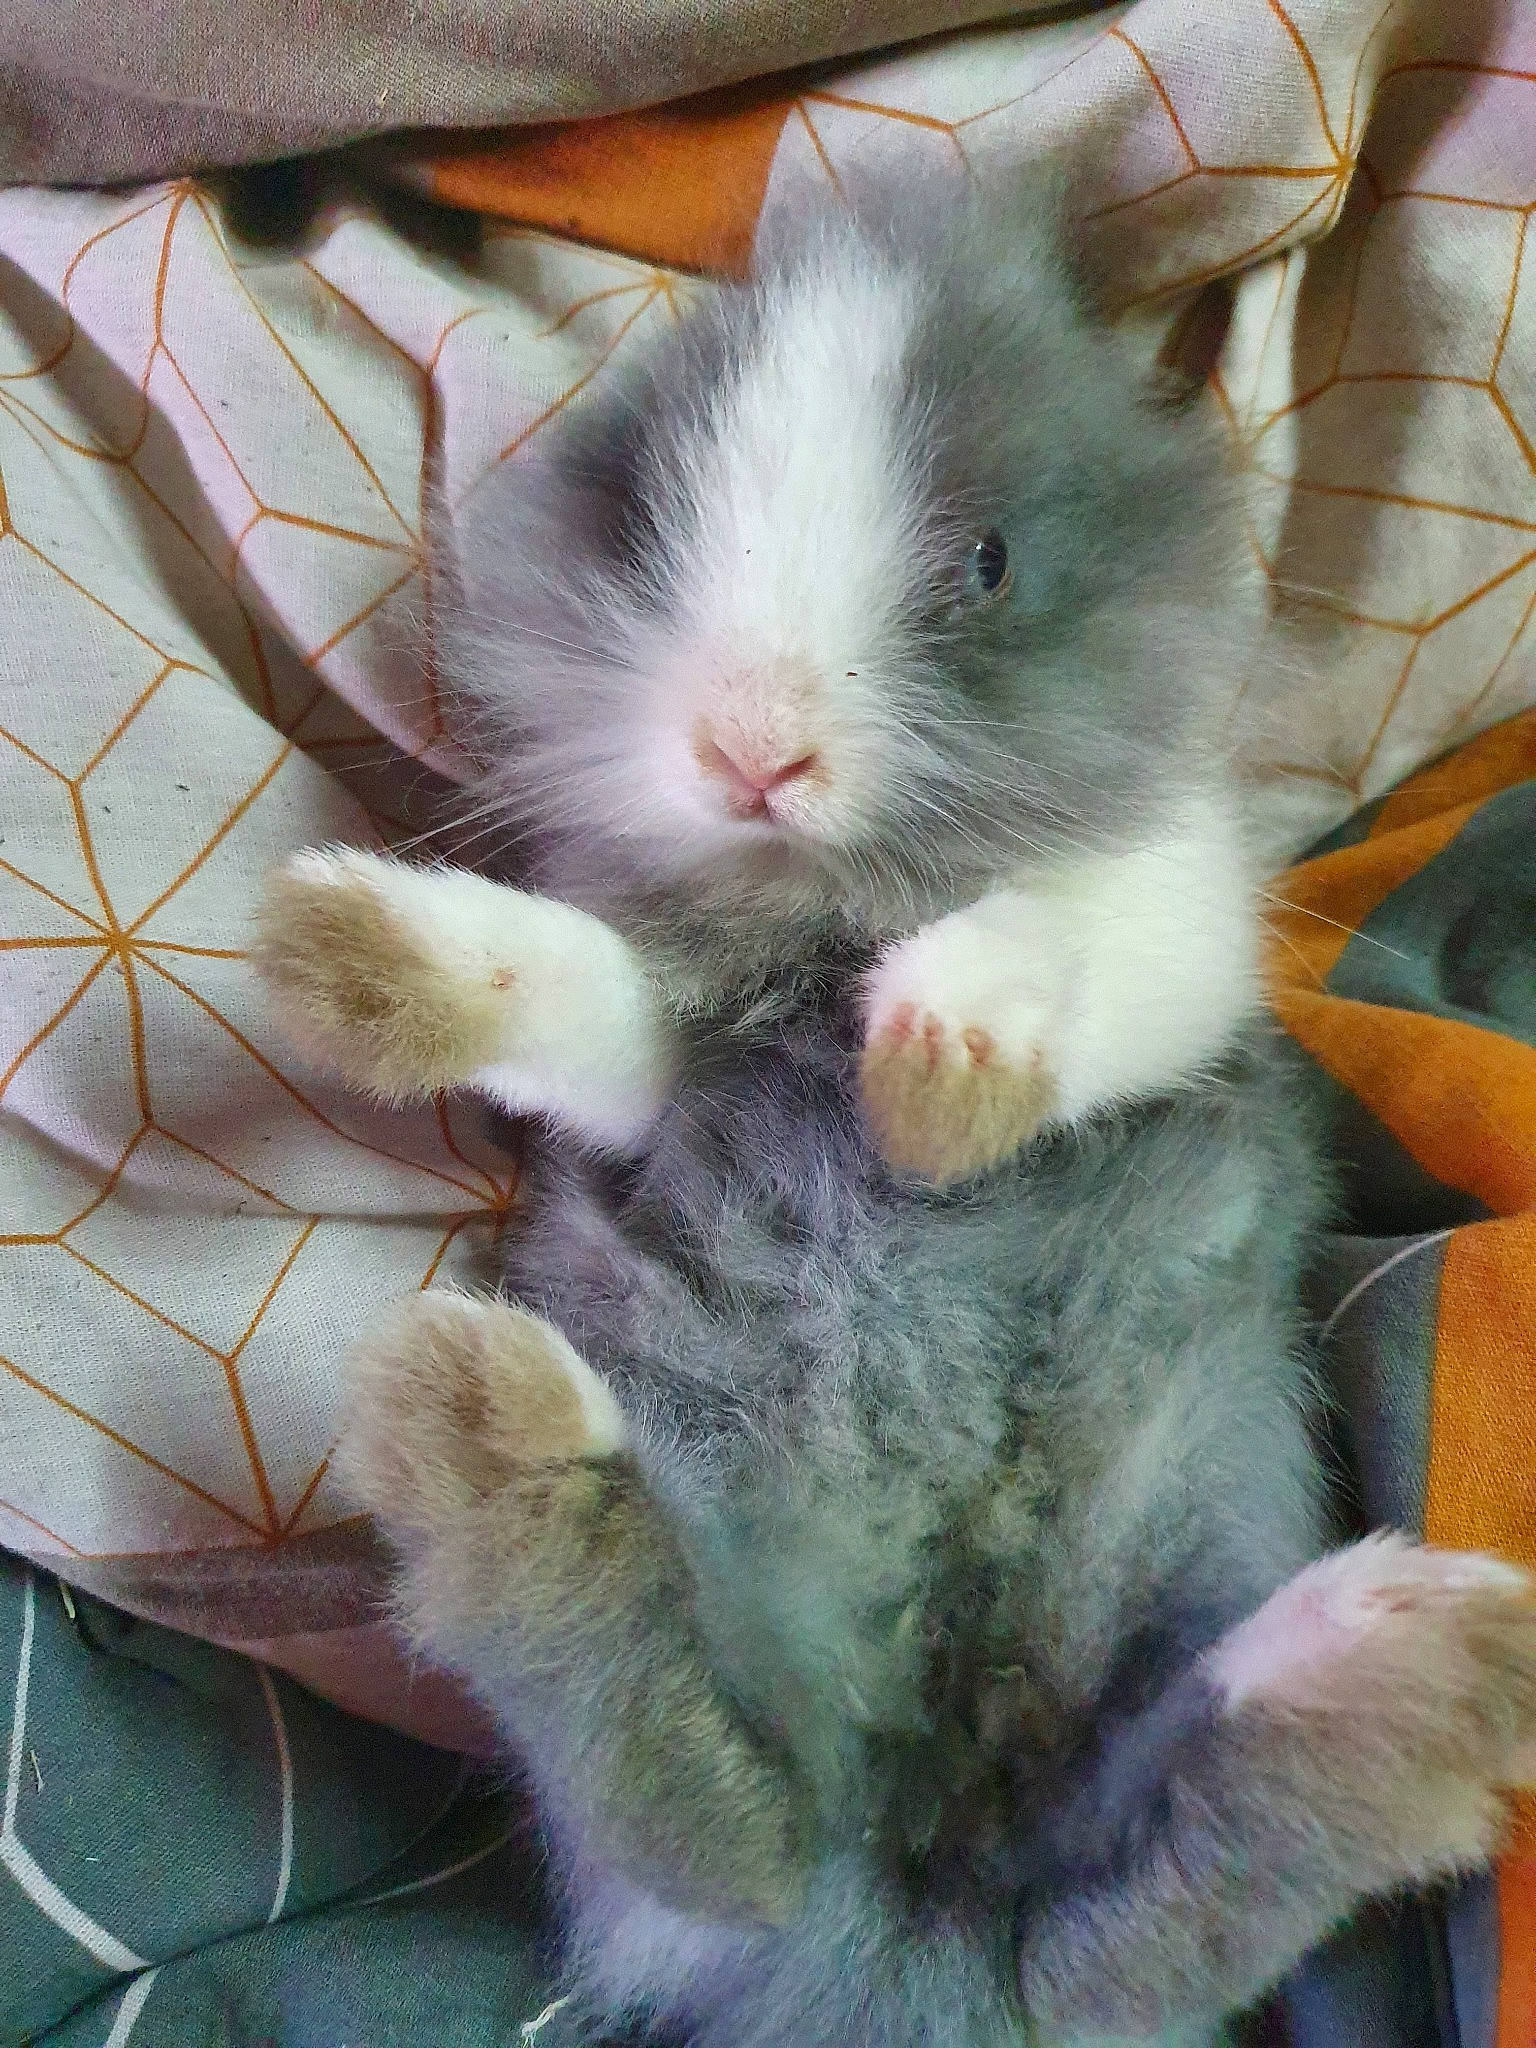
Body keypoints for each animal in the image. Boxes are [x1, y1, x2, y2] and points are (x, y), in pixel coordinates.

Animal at [254, 177, 1536, 2048]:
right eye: (652, 532)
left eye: (987, 563)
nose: (751, 750)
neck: (826, 920)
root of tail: (921, 1921)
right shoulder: (664, 1060)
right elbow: (570, 985)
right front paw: (345, 952)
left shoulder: (1178, 921)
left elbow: (1063, 939)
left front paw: (936, 1074)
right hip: (732, 1737)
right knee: (715, 1805)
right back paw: (494, 1438)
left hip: (1174, 1560)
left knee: (1144, 1890)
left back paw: (1410, 1674)